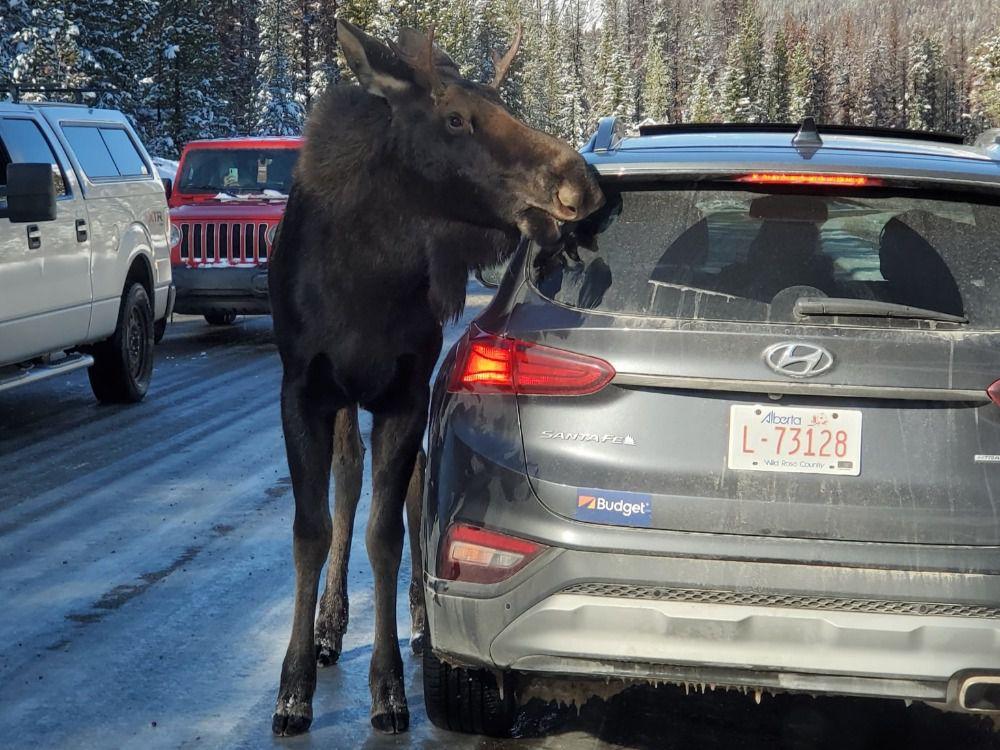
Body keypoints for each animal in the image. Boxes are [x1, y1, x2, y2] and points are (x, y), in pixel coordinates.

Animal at [268, 20, 600, 736]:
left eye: (501, 103)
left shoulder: (405, 391)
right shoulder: (302, 389)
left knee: (412, 480)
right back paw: (331, 626)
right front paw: (294, 687)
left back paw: (419, 620)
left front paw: (390, 687)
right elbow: (312, 530)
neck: (365, 282)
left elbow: (388, 534)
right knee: (348, 479)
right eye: (455, 118)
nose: (579, 179)